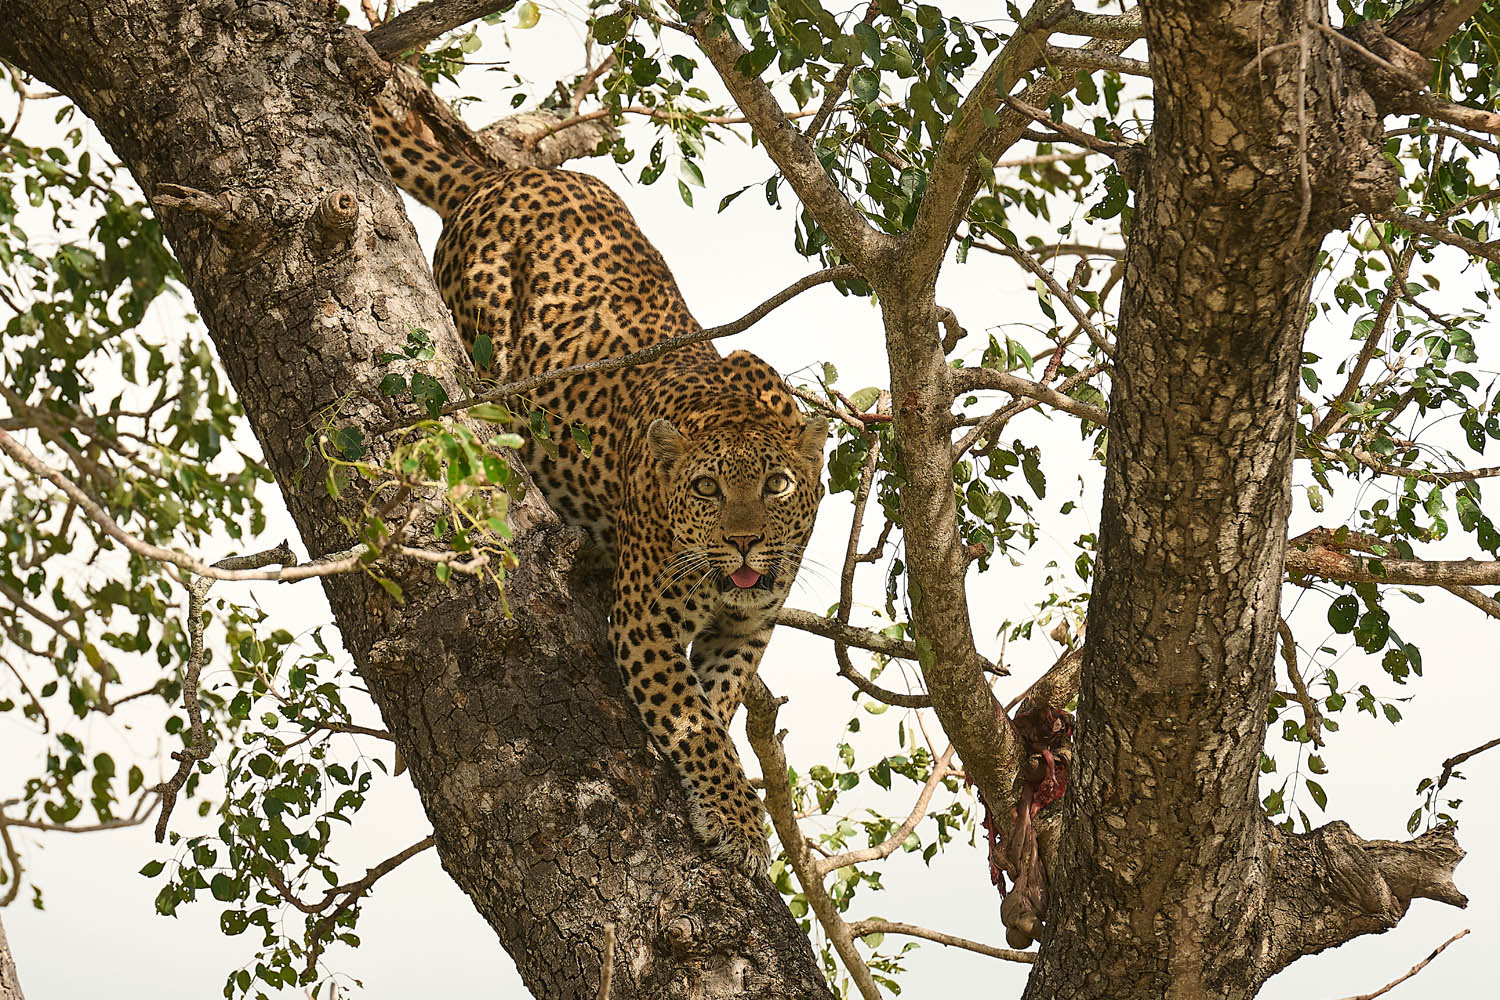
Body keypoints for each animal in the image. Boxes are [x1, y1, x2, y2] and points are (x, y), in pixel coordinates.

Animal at [370, 104, 827, 874]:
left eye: (778, 484)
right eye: (706, 487)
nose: (743, 544)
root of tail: (498, 177)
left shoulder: (747, 626)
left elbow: (716, 699)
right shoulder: (644, 621)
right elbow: (696, 723)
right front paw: (737, 821)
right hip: (487, 345)